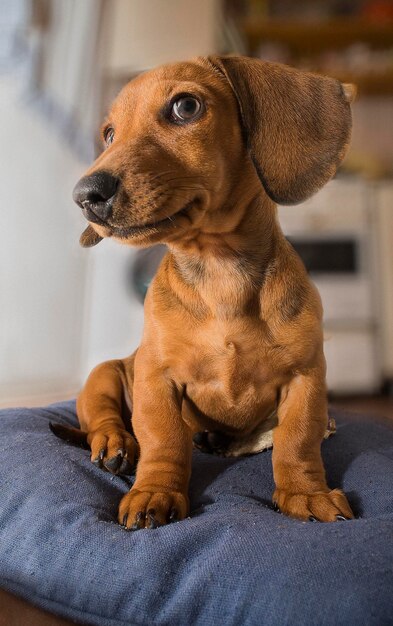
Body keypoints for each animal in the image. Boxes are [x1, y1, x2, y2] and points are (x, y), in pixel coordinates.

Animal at [50, 56, 354, 528]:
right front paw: (154, 491)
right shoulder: (157, 378)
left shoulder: (305, 378)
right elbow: (163, 437)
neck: (219, 270)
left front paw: (307, 493)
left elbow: (298, 440)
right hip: (103, 374)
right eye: (109, 134)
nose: (86, 196)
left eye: (186, 107)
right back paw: (116, 446)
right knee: (104, 420)